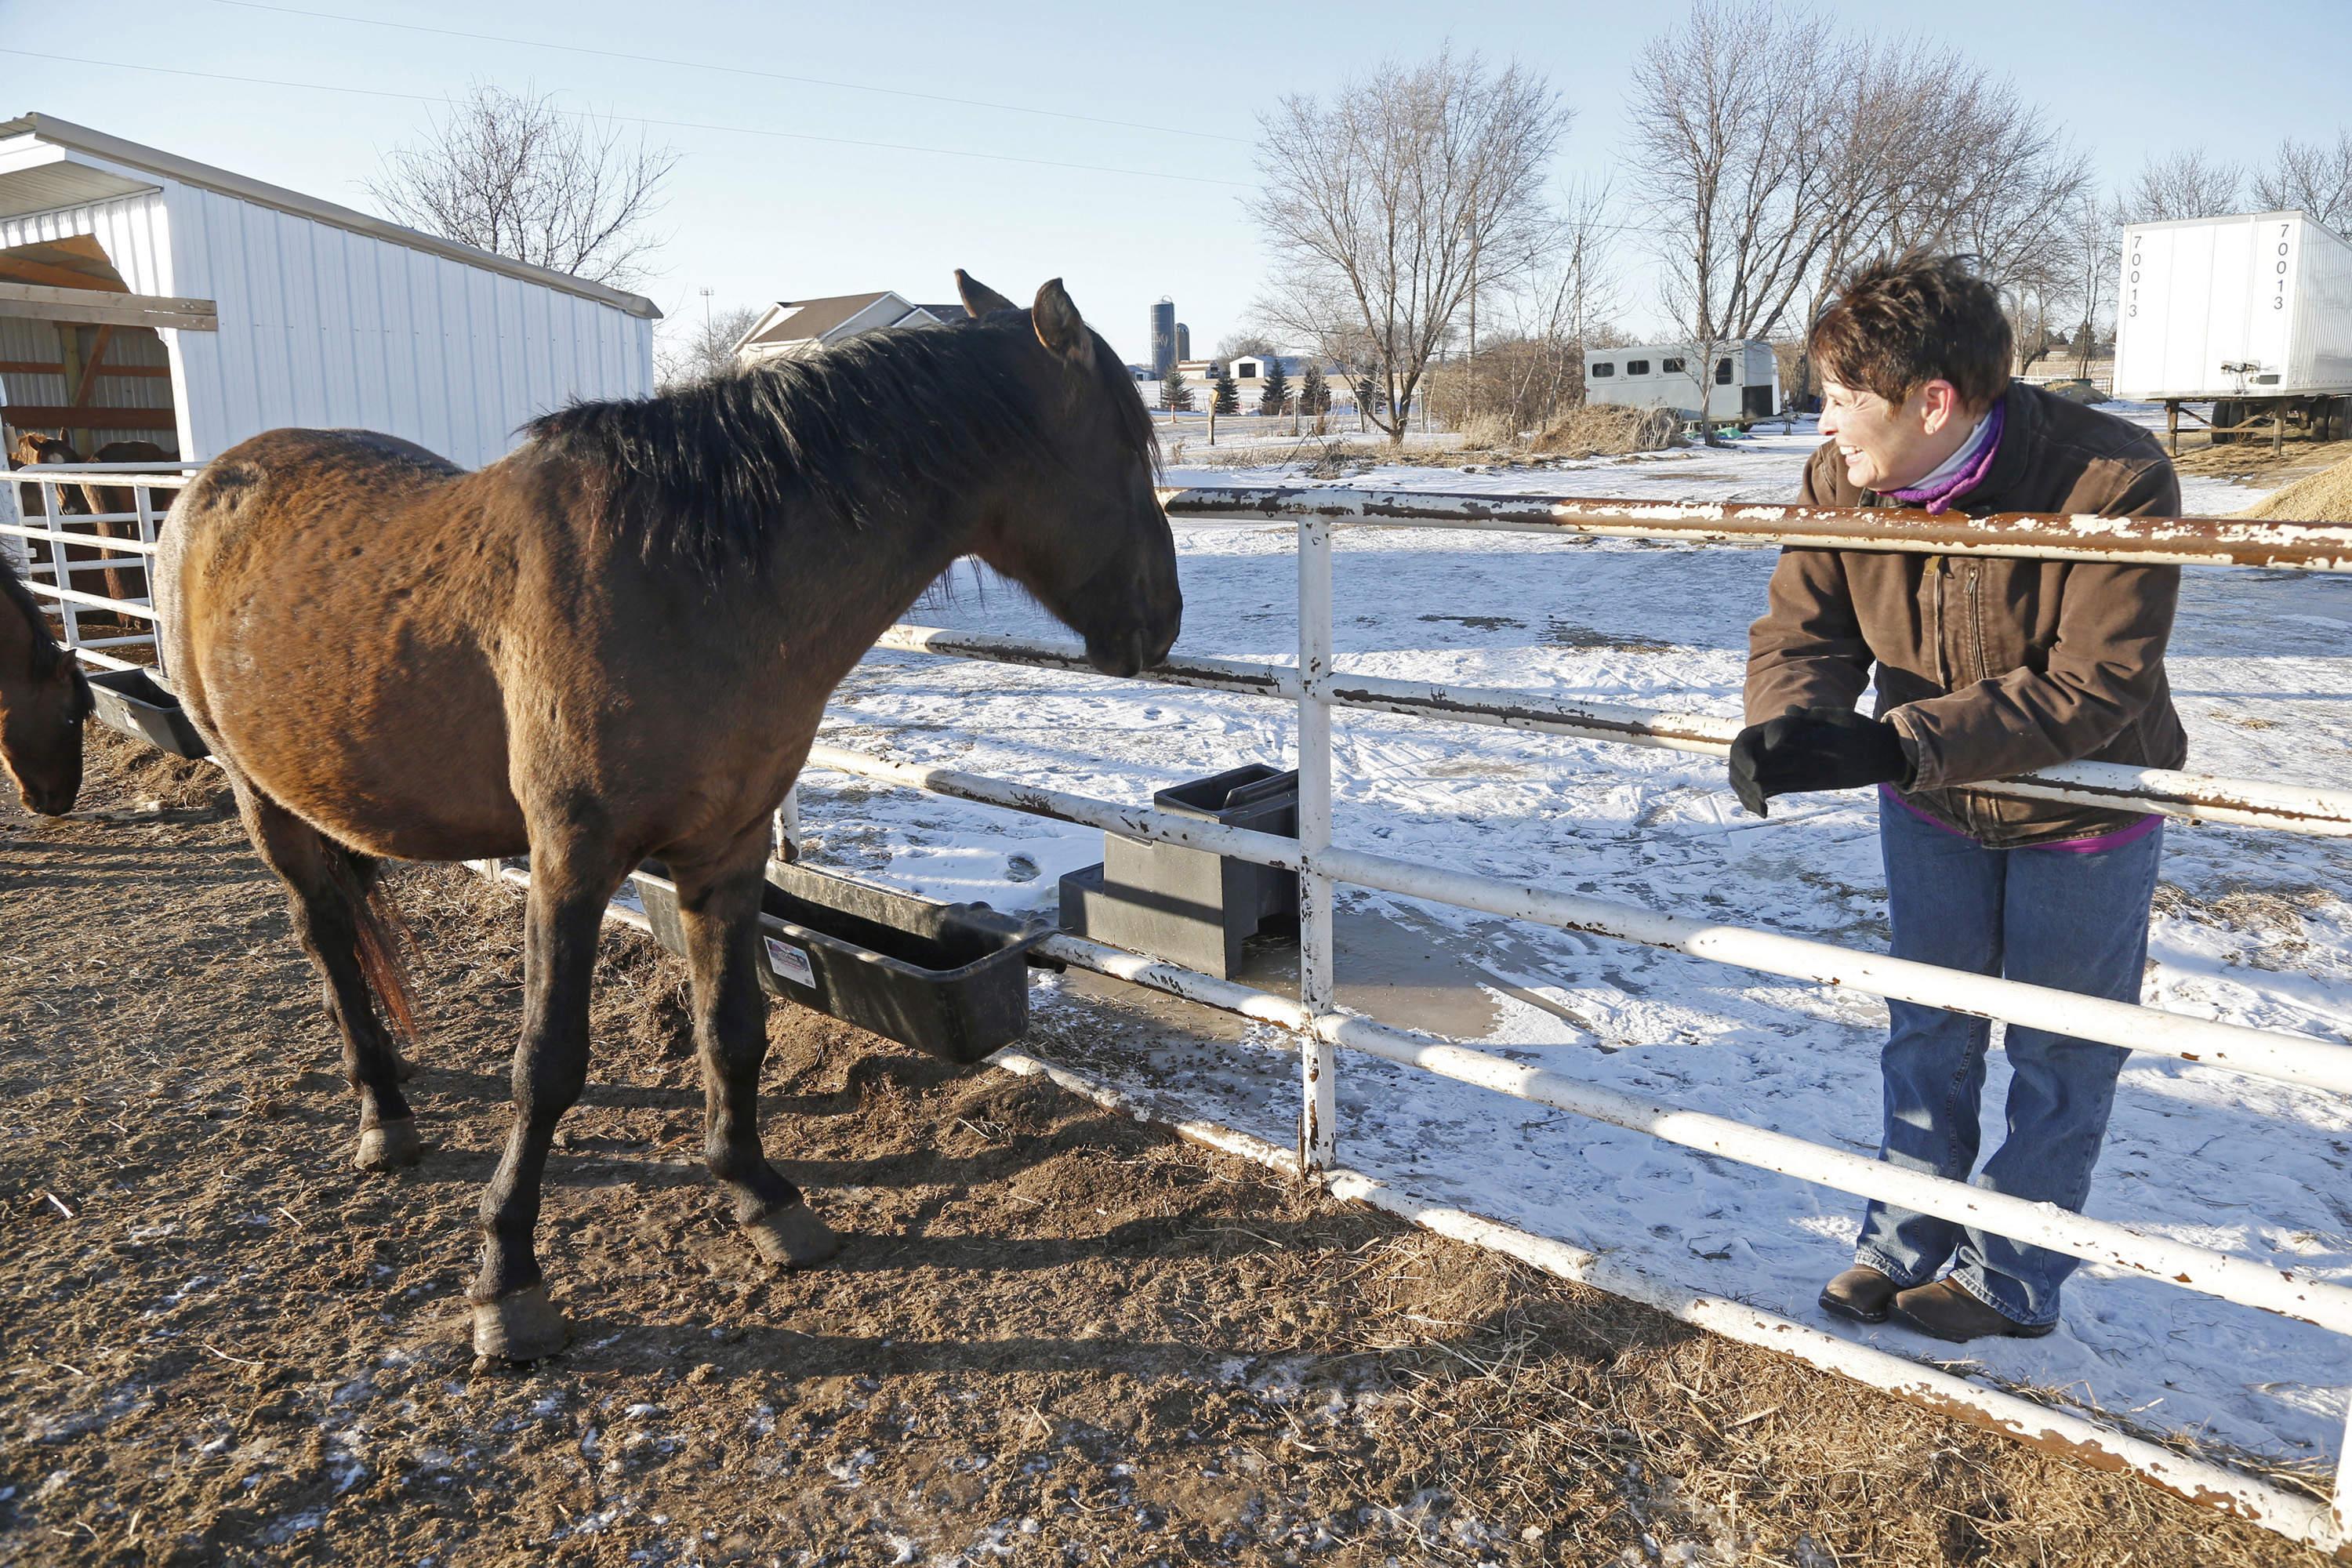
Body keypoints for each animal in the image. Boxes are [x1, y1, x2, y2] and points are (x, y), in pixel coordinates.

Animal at [157, 273, 1180, 1361]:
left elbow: (731, 1027)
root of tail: (210, 485)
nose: (1162, 624)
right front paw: (505, 1277)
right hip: (259, 797)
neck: (688, 579)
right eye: (1127, 444)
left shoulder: (726, 852)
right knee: (325, 938)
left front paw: (763, 1194)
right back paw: (381, 1111)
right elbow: (546, 1063)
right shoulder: (570, 861)